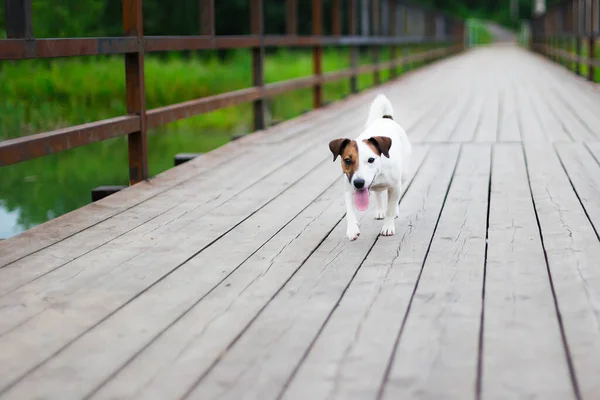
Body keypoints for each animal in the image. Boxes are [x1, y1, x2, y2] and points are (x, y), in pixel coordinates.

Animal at [330, 94, 410, 241]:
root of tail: (386, 118)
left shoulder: (394, 186)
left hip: (403, 176)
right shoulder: (348, 188)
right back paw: (379, 210)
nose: (359, 183)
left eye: (371, 160)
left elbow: (390, 208)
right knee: (377, 193)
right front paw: (352, 229)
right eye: (347, 160)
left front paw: (388, 226)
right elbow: (349, 210)